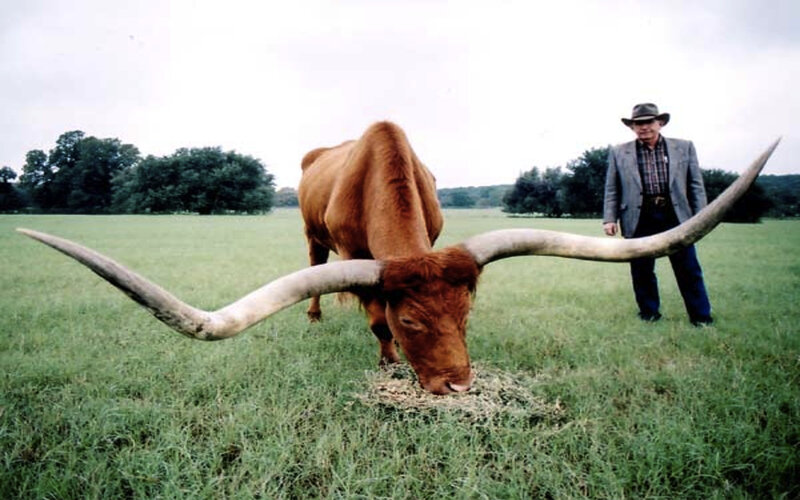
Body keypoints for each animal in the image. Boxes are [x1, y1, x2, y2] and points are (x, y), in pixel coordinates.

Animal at [16, 124, 779, 395]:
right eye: (415, 324)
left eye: (468, 315)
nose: (459, 387)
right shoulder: (358, 258)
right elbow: (373, 313)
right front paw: (384, 357)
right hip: (311, 238)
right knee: (318, 271)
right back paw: (320, 315)